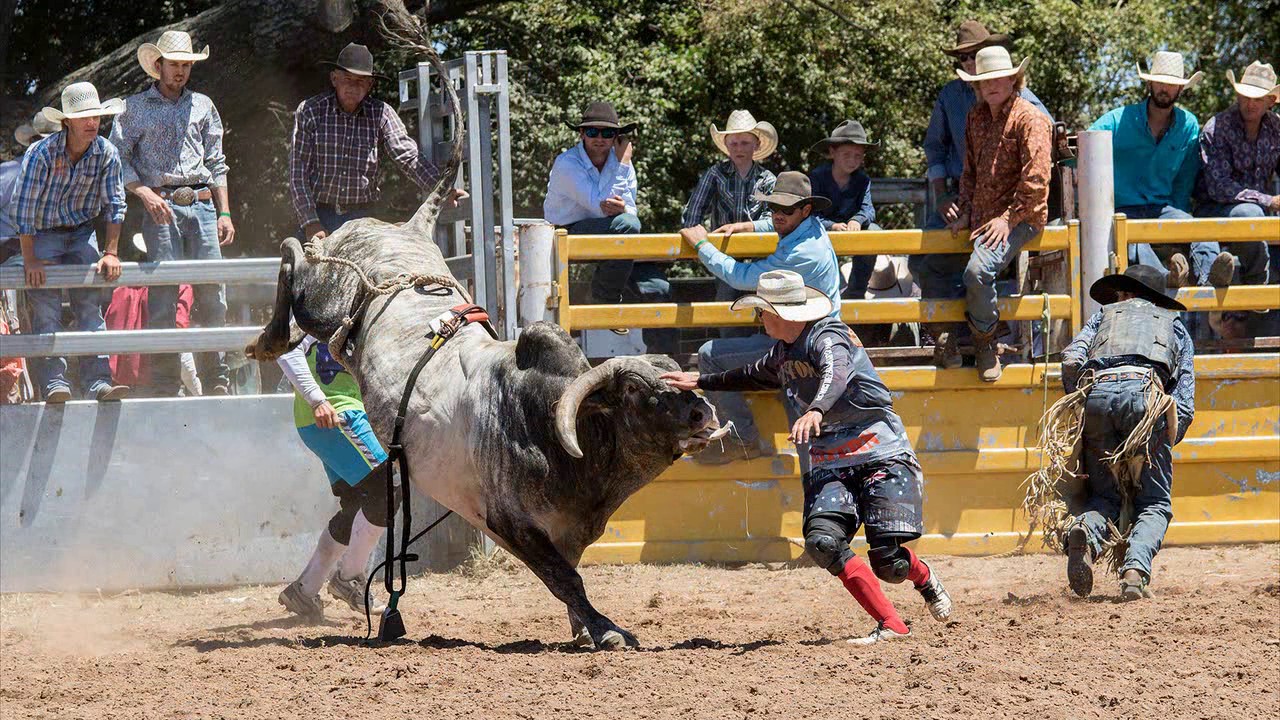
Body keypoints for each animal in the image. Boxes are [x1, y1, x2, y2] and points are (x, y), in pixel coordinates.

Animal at [241, 29, 721, 650]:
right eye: (642, 393)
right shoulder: (508, 523)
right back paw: (269, 339)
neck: (543, 422)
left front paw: (586, 628)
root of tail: (404, 227)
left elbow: (571, 577)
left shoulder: (568, 530)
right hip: (326, 299)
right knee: (295, 254)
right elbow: (564, 579)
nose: (704, 413)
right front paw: (607, 630)